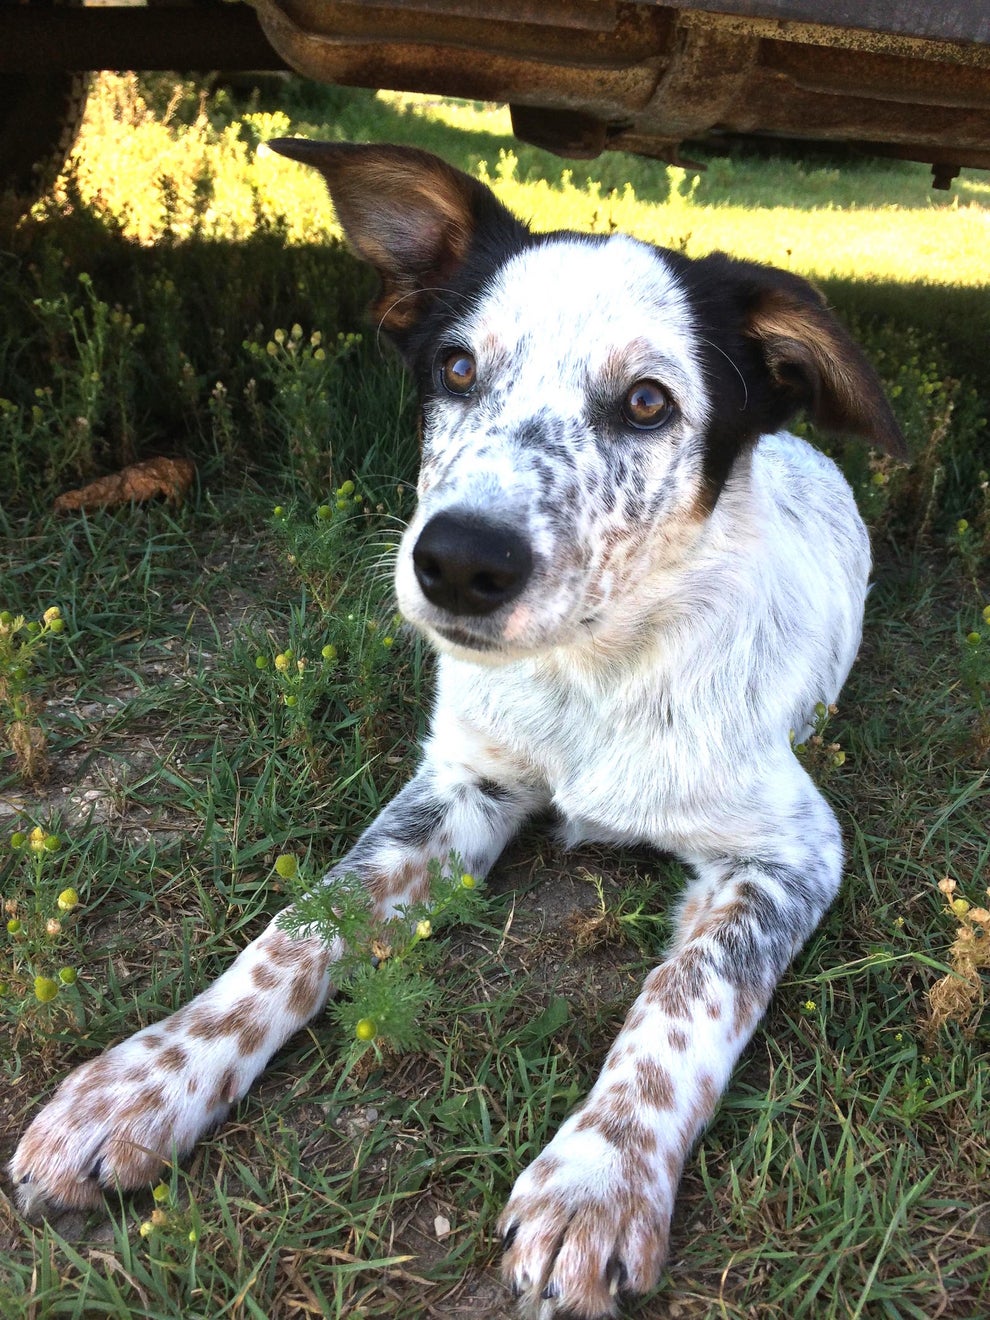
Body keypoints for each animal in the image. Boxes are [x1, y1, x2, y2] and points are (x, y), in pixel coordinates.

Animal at [11, 144, 908, 1320]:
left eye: (649, 402)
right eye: (456, 369)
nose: (459, 562)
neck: (589, 674)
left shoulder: (790, 848)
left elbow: (686, 995)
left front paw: (599, 1180)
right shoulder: (460, 785)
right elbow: (298, 926)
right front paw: (140, 1083)